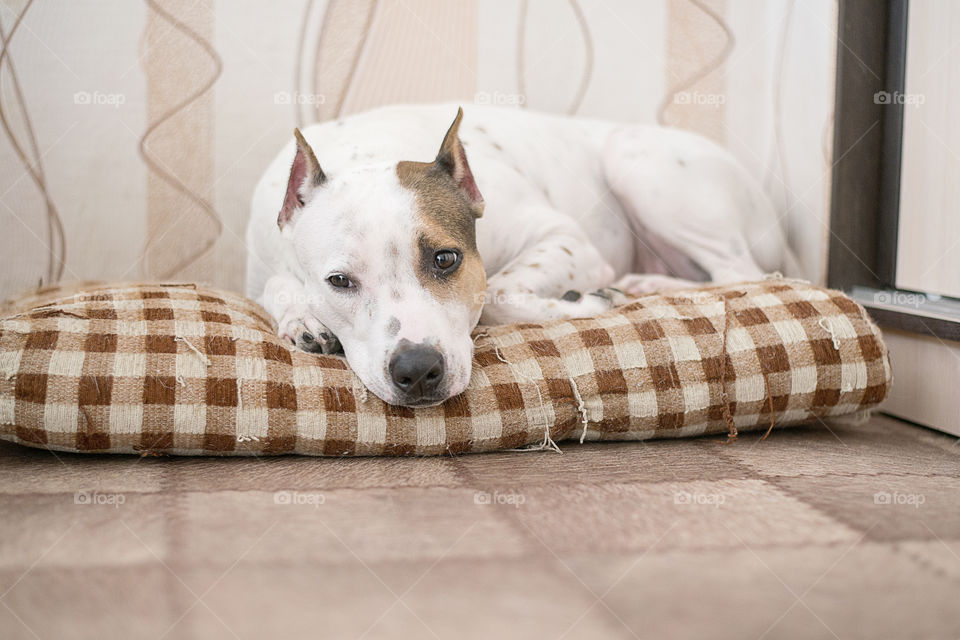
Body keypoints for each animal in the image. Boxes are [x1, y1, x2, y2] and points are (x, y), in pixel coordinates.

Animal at [244, 103, 800, 408]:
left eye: (446, 260)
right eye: (339, 281)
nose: (418, 370)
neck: (370, 151)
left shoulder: (566, 238)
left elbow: (500, 294)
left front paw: (587, 300)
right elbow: (275, 287)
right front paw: (303, 320)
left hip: (636, 160)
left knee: (747, 273)